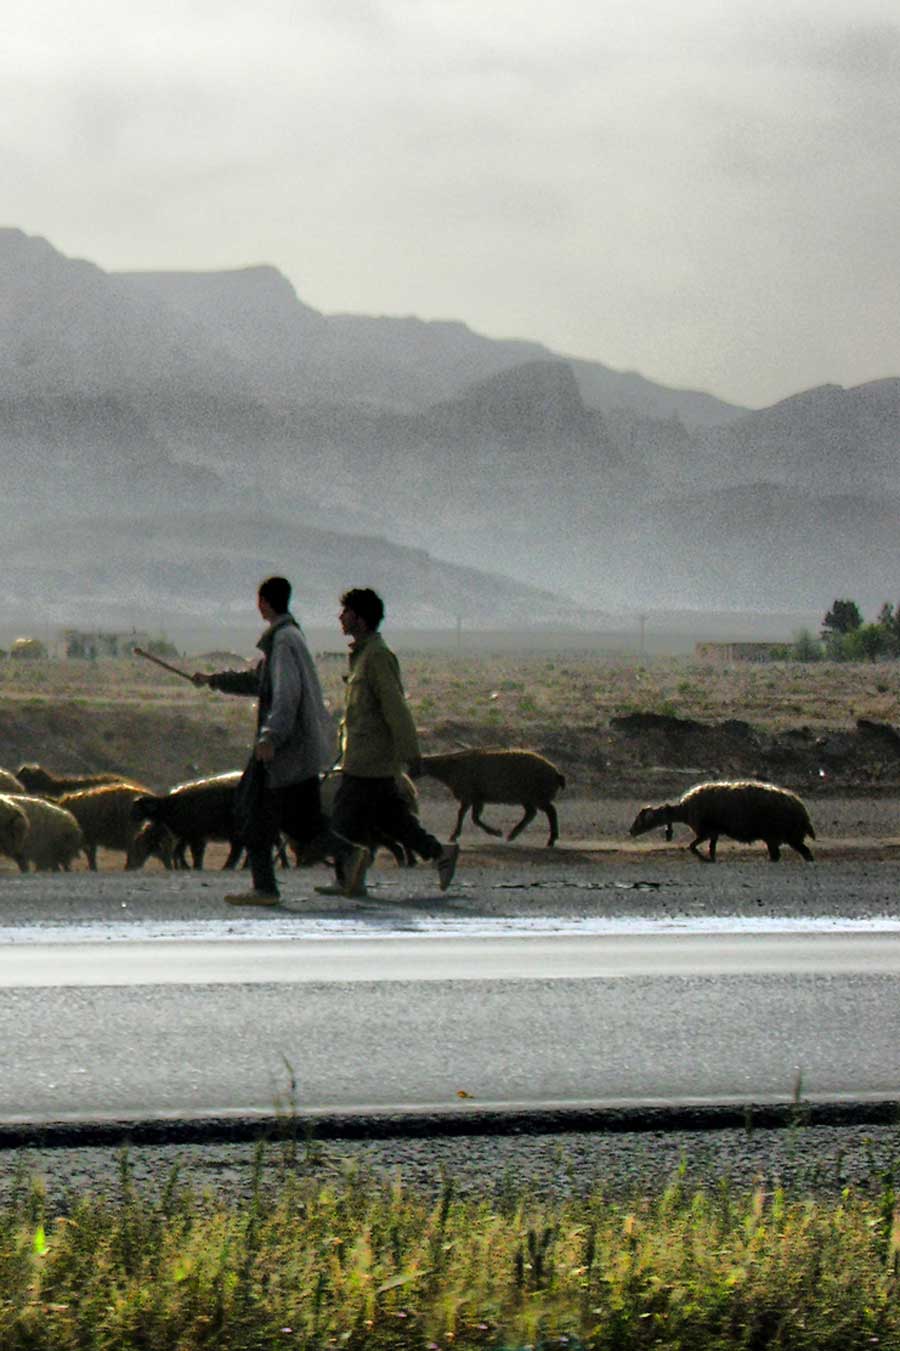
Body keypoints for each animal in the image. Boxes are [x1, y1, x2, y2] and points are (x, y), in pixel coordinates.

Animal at [410, 751, 564, 843]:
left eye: (412, 765)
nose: (407, 777)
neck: (449, 769)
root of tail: (557, 774)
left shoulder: (470, 795)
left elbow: (468, 816)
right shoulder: (475, 798)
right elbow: (470, 816)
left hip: (537, 795)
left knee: (551, 811)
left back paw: (551, 839)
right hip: (528, 797)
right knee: (531, 813)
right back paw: (513, 834)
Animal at [624, 783, 810, 864]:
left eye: (640, 820)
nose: (631, 831)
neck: (685, 810)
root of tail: (802, 810)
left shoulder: (704, 831)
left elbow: (692, 846)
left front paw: (703, 858)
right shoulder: (714, 833)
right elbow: (711, 849)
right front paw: (710, 858)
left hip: (777, 834)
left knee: (782, 854)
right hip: (789, 836)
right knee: (803, 852)